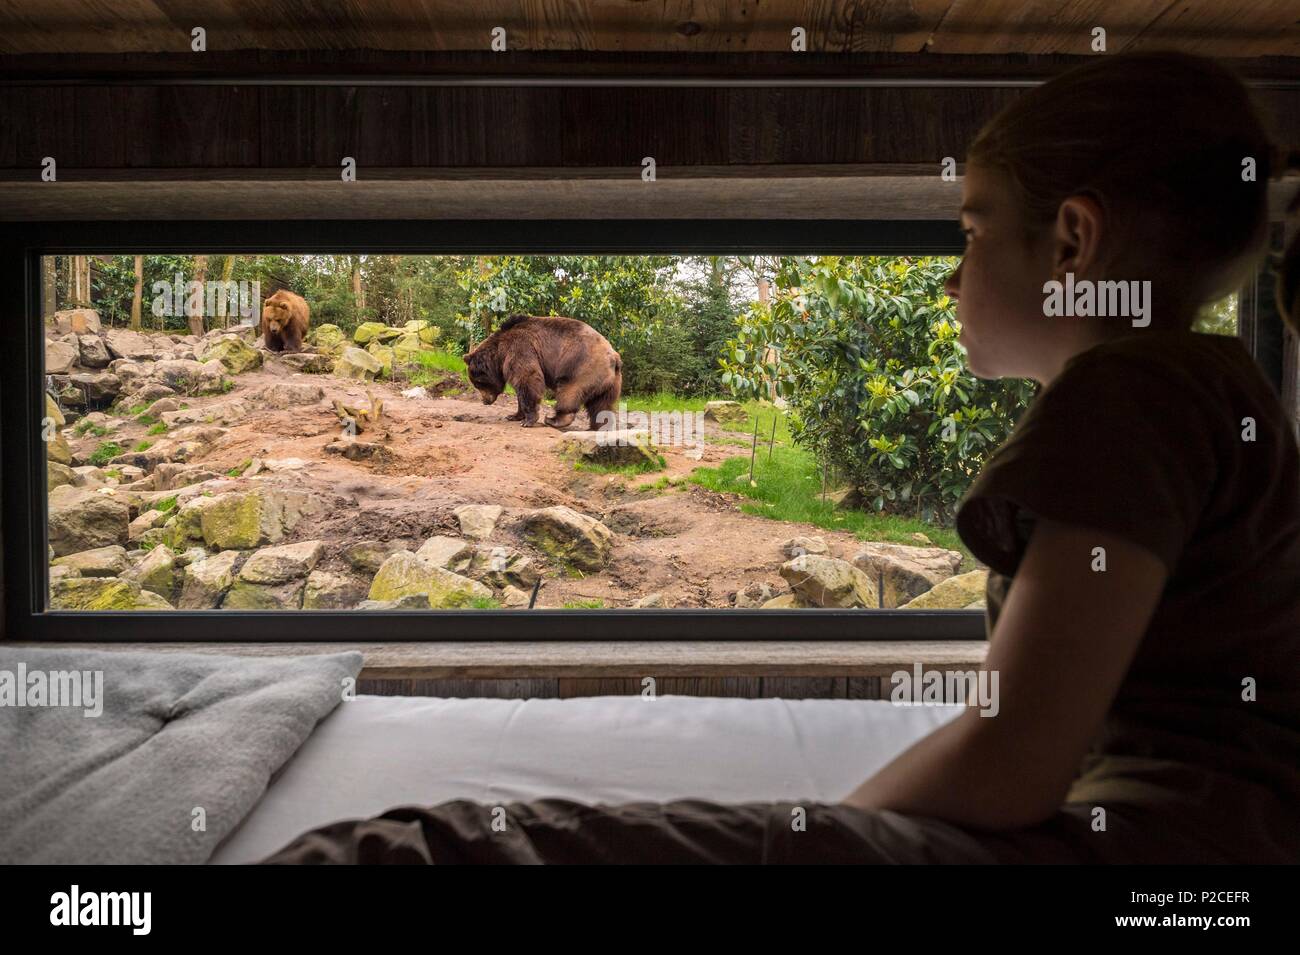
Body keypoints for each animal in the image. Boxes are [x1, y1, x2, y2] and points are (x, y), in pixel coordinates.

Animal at [465, 314, 621, 428]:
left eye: (478, 383)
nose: (485, 401)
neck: (499, 353)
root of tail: (614, 356)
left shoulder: (520, 348)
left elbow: (528, 378)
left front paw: (527, 421)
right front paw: (513, 415)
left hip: (581, 367)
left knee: (569, 391)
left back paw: (553, 419)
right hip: (610, 383)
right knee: (601, 405)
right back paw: (598, 426)